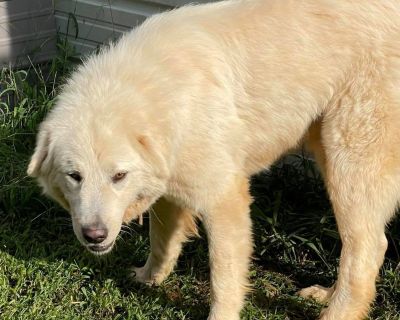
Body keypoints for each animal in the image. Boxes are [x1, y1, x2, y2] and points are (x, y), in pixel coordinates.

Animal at [28, 0, 400, 320]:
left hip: (349, 161)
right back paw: (326, 294)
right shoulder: (168, 186)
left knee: (368, 248)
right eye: (74, 176)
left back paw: (338, 311)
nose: (94, 236)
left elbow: (223, 277)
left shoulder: (224, 200)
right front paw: (149, 278)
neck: (161, 96)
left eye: (118, 176)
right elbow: (161, 241)